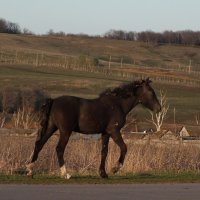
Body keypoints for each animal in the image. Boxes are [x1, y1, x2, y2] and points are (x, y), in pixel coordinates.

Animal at [26, 78, 161, 178]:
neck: (117, 104)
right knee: (59, 149)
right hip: (65, 131)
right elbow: (124, 147)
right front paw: (115, 169)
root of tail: (53, 101)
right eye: (151, 92)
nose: (159, 108)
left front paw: (103, 174)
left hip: (51, 128)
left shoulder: (105, 133)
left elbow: (104, 152)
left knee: (39, 144)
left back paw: (30, 170)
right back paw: (66, 174)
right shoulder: (114, 131)